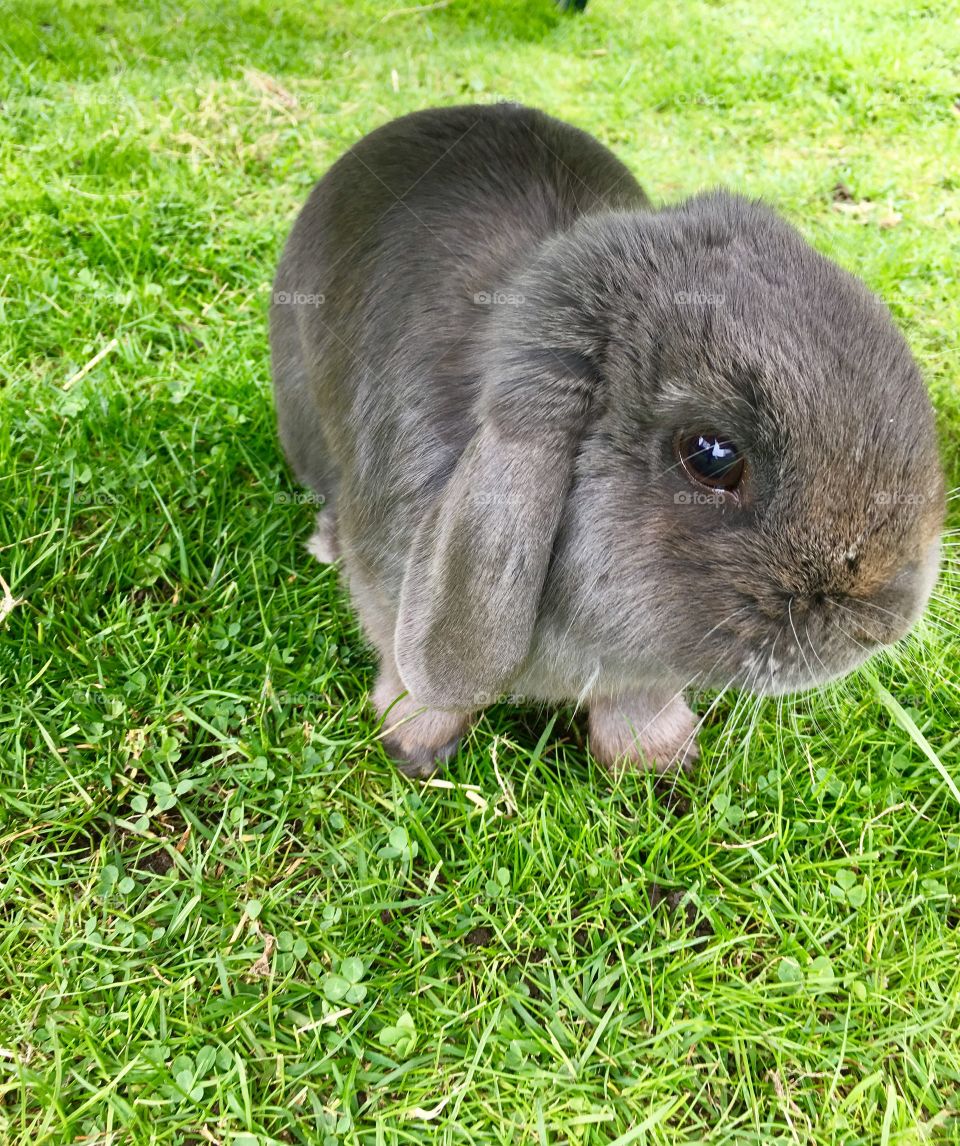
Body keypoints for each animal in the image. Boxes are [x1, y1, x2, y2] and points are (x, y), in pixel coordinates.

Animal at [270, 103, 948, 779]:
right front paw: (413, 744)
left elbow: (636, 700)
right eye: (712, 456)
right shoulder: (386, 591)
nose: (885, 622)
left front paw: (658, 763)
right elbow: (408, 672)